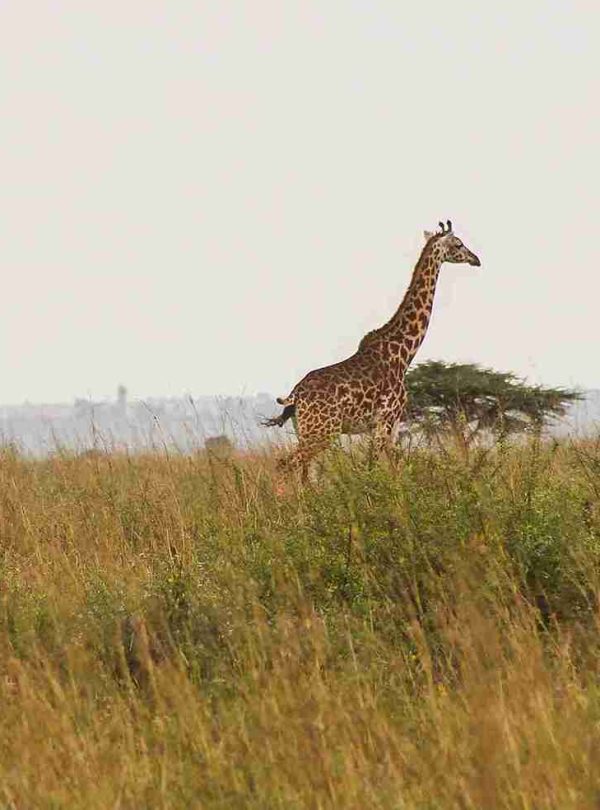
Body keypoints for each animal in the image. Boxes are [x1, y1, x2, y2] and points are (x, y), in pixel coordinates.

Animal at [263, 221, 481, 479]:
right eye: (458, 244)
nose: (476, 259)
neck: (403, 353)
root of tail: (294, 396)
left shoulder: (390, 425)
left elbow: (395, 468)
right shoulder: (385, 420)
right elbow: (373, 468)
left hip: (305, 432)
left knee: (301, 472)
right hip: (323, 431)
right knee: (285, 465)